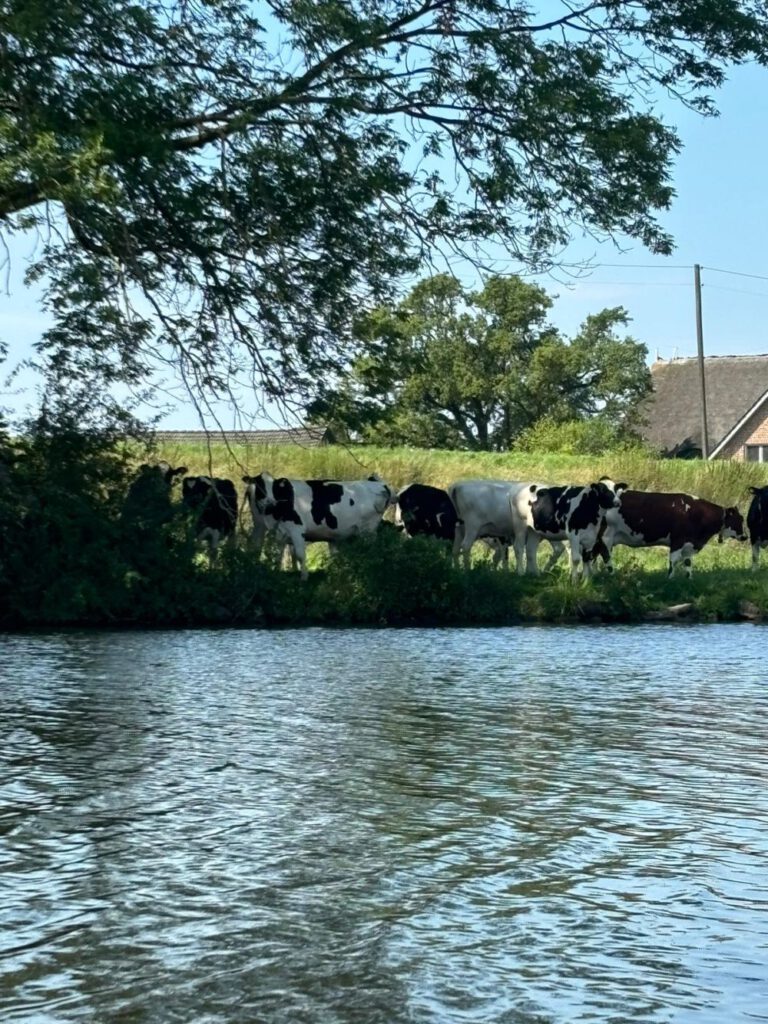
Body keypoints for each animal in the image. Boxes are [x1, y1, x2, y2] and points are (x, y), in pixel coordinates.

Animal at [240, 468, 397, 577]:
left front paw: (304, 578)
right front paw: (277, 574)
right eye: (259, 486)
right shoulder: (280, 532)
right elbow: (278, 555)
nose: (270, 502)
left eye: (274, 487)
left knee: (371, 550)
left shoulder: (297, 529)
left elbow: (299, 554)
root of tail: (379, 483)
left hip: (368, 530)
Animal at [593, 487, 749, 577]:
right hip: (606, 535)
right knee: (606, 556)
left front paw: (688, 580)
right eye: (738, 519)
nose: (745, 537)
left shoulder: (689, 543)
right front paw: (670, 580)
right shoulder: (678, 540)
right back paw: (612, 576)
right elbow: (673, 562)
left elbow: (688, 563)